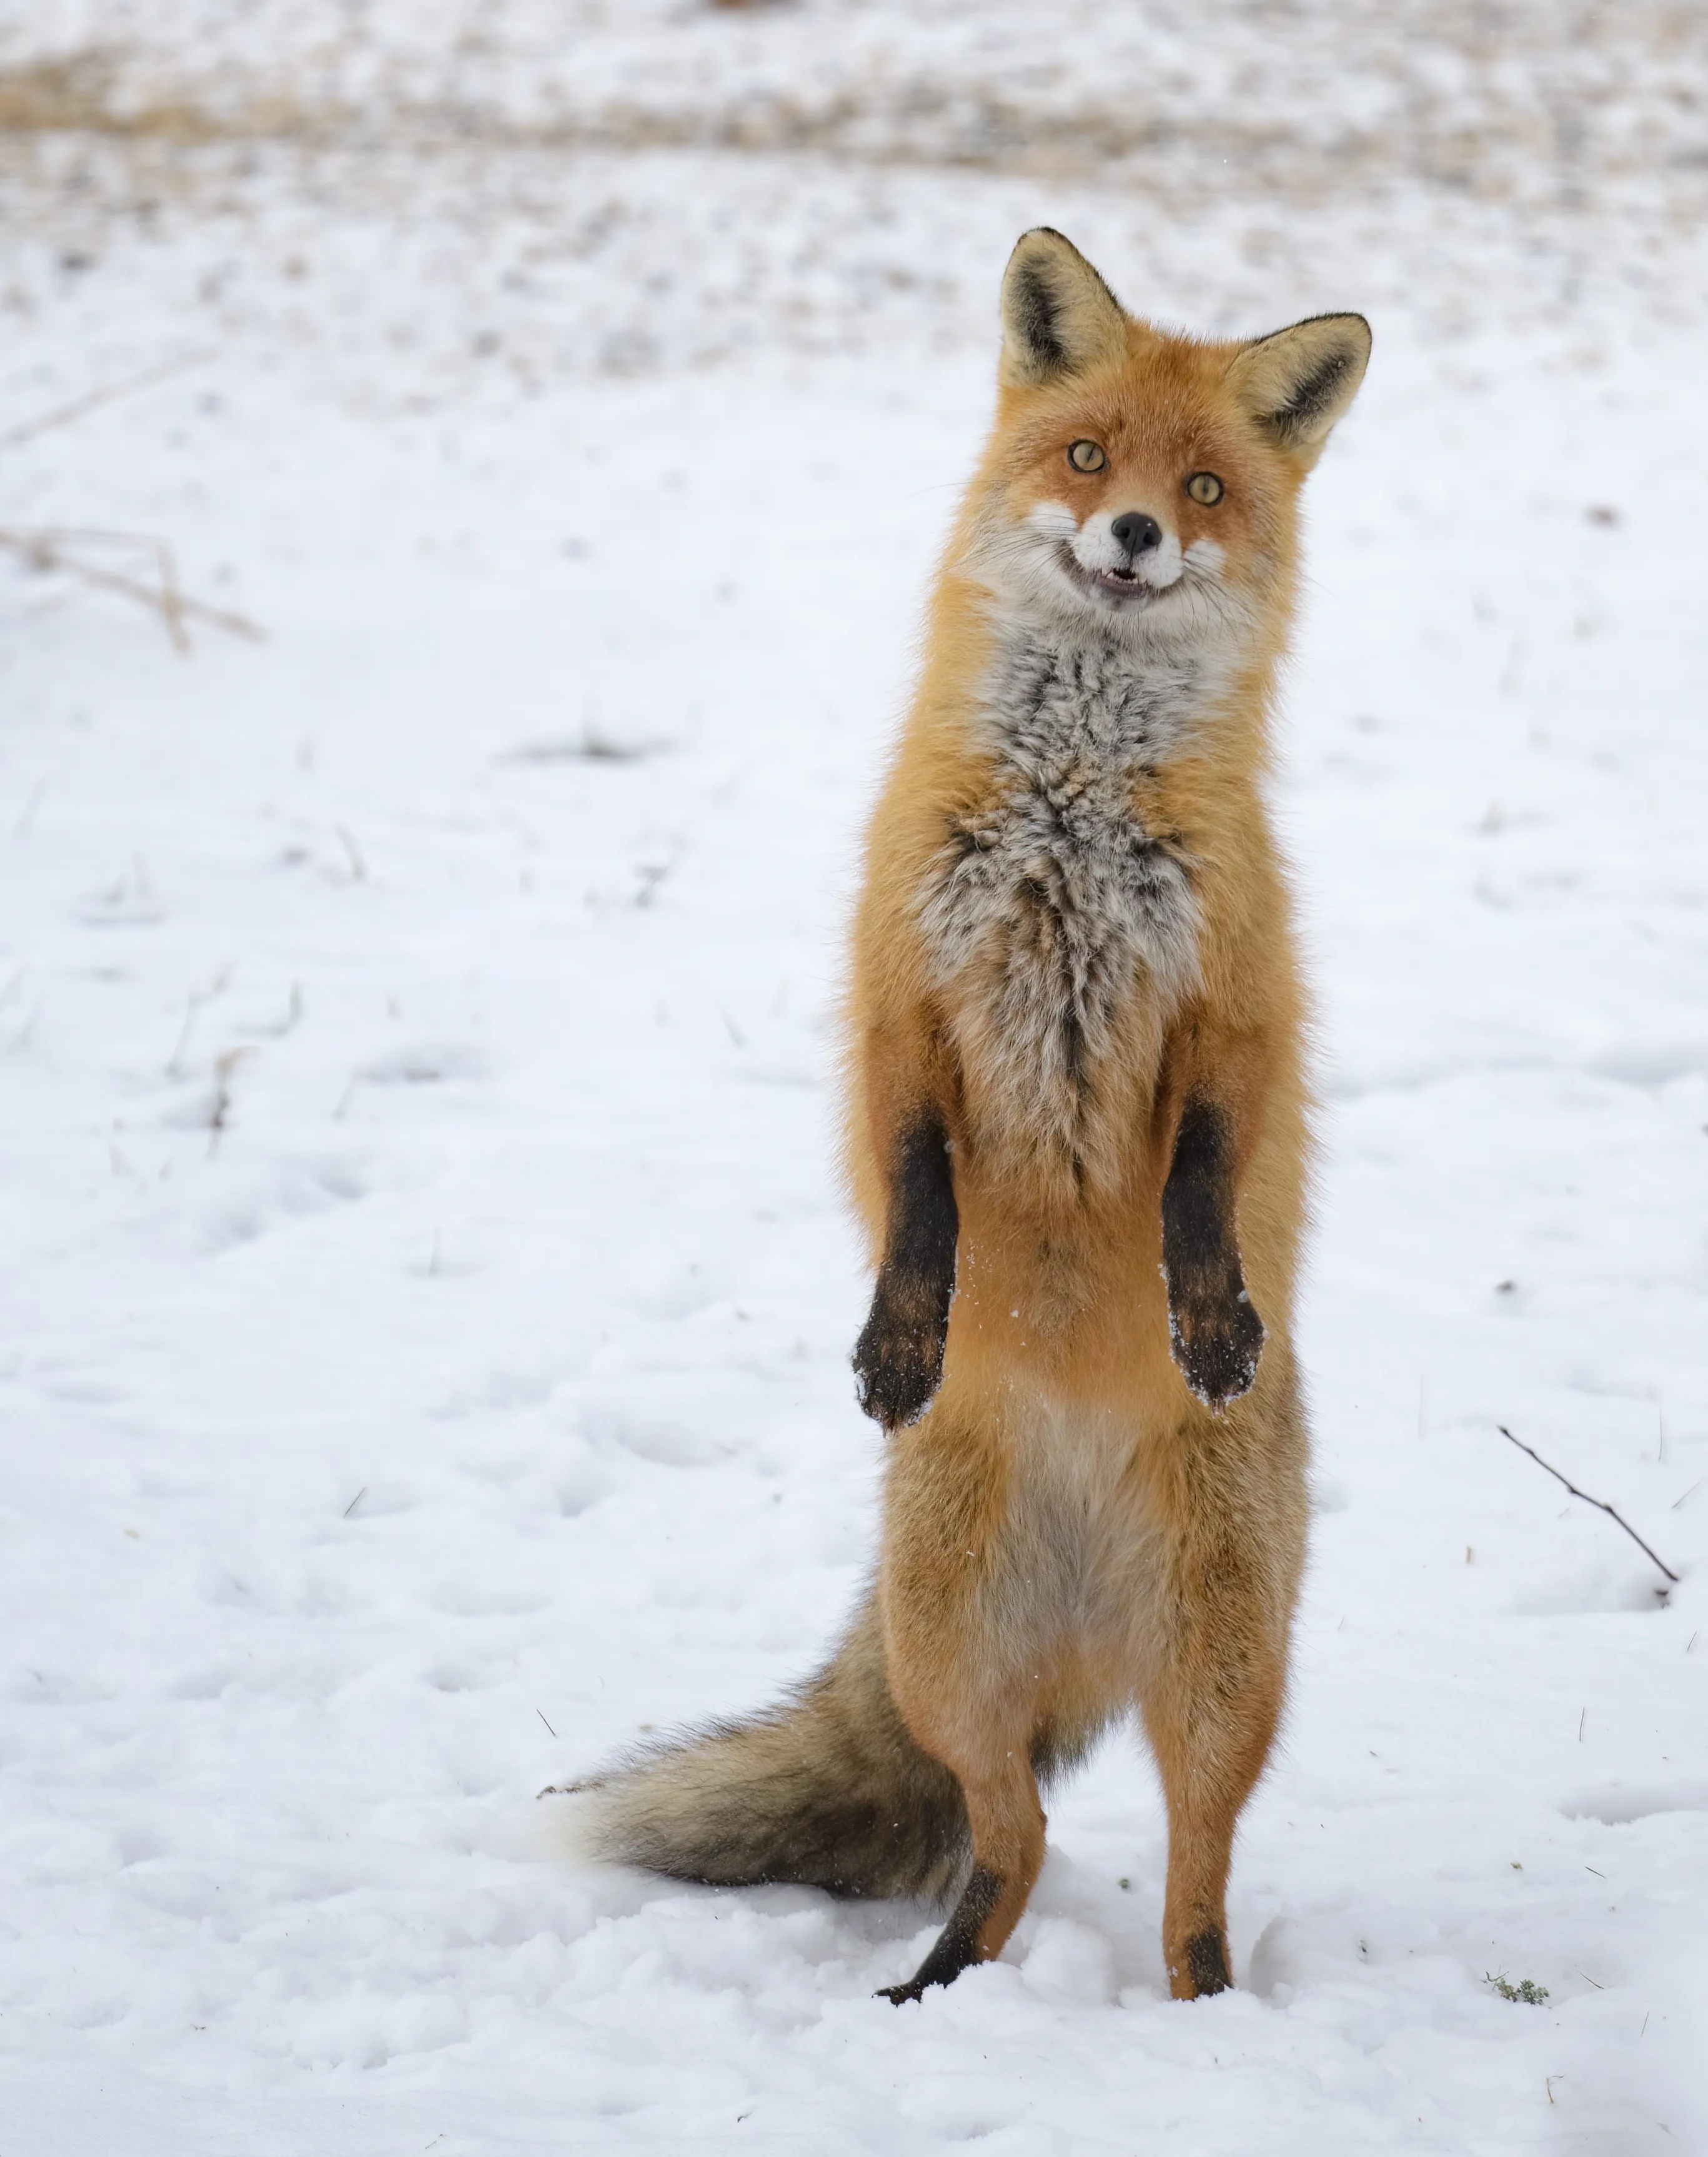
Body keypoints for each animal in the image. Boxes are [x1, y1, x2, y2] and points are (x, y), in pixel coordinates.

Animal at [569, 228, 1371, 2007]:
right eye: (1084, 457)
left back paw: (1203, 2018)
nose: (1134, 534)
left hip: (1224, 1678)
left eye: (1201, 485)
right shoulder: (902, 1008)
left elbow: (1203, 1179)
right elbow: (917, 1187)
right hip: (946, 1658)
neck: (1071, 797)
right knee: (1012, 1838)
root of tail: (1084, 1617)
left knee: (1186, 1870)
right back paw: (928, 1989)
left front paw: (1208, 1317)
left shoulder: (1228, 1008)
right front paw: (899, 1336)